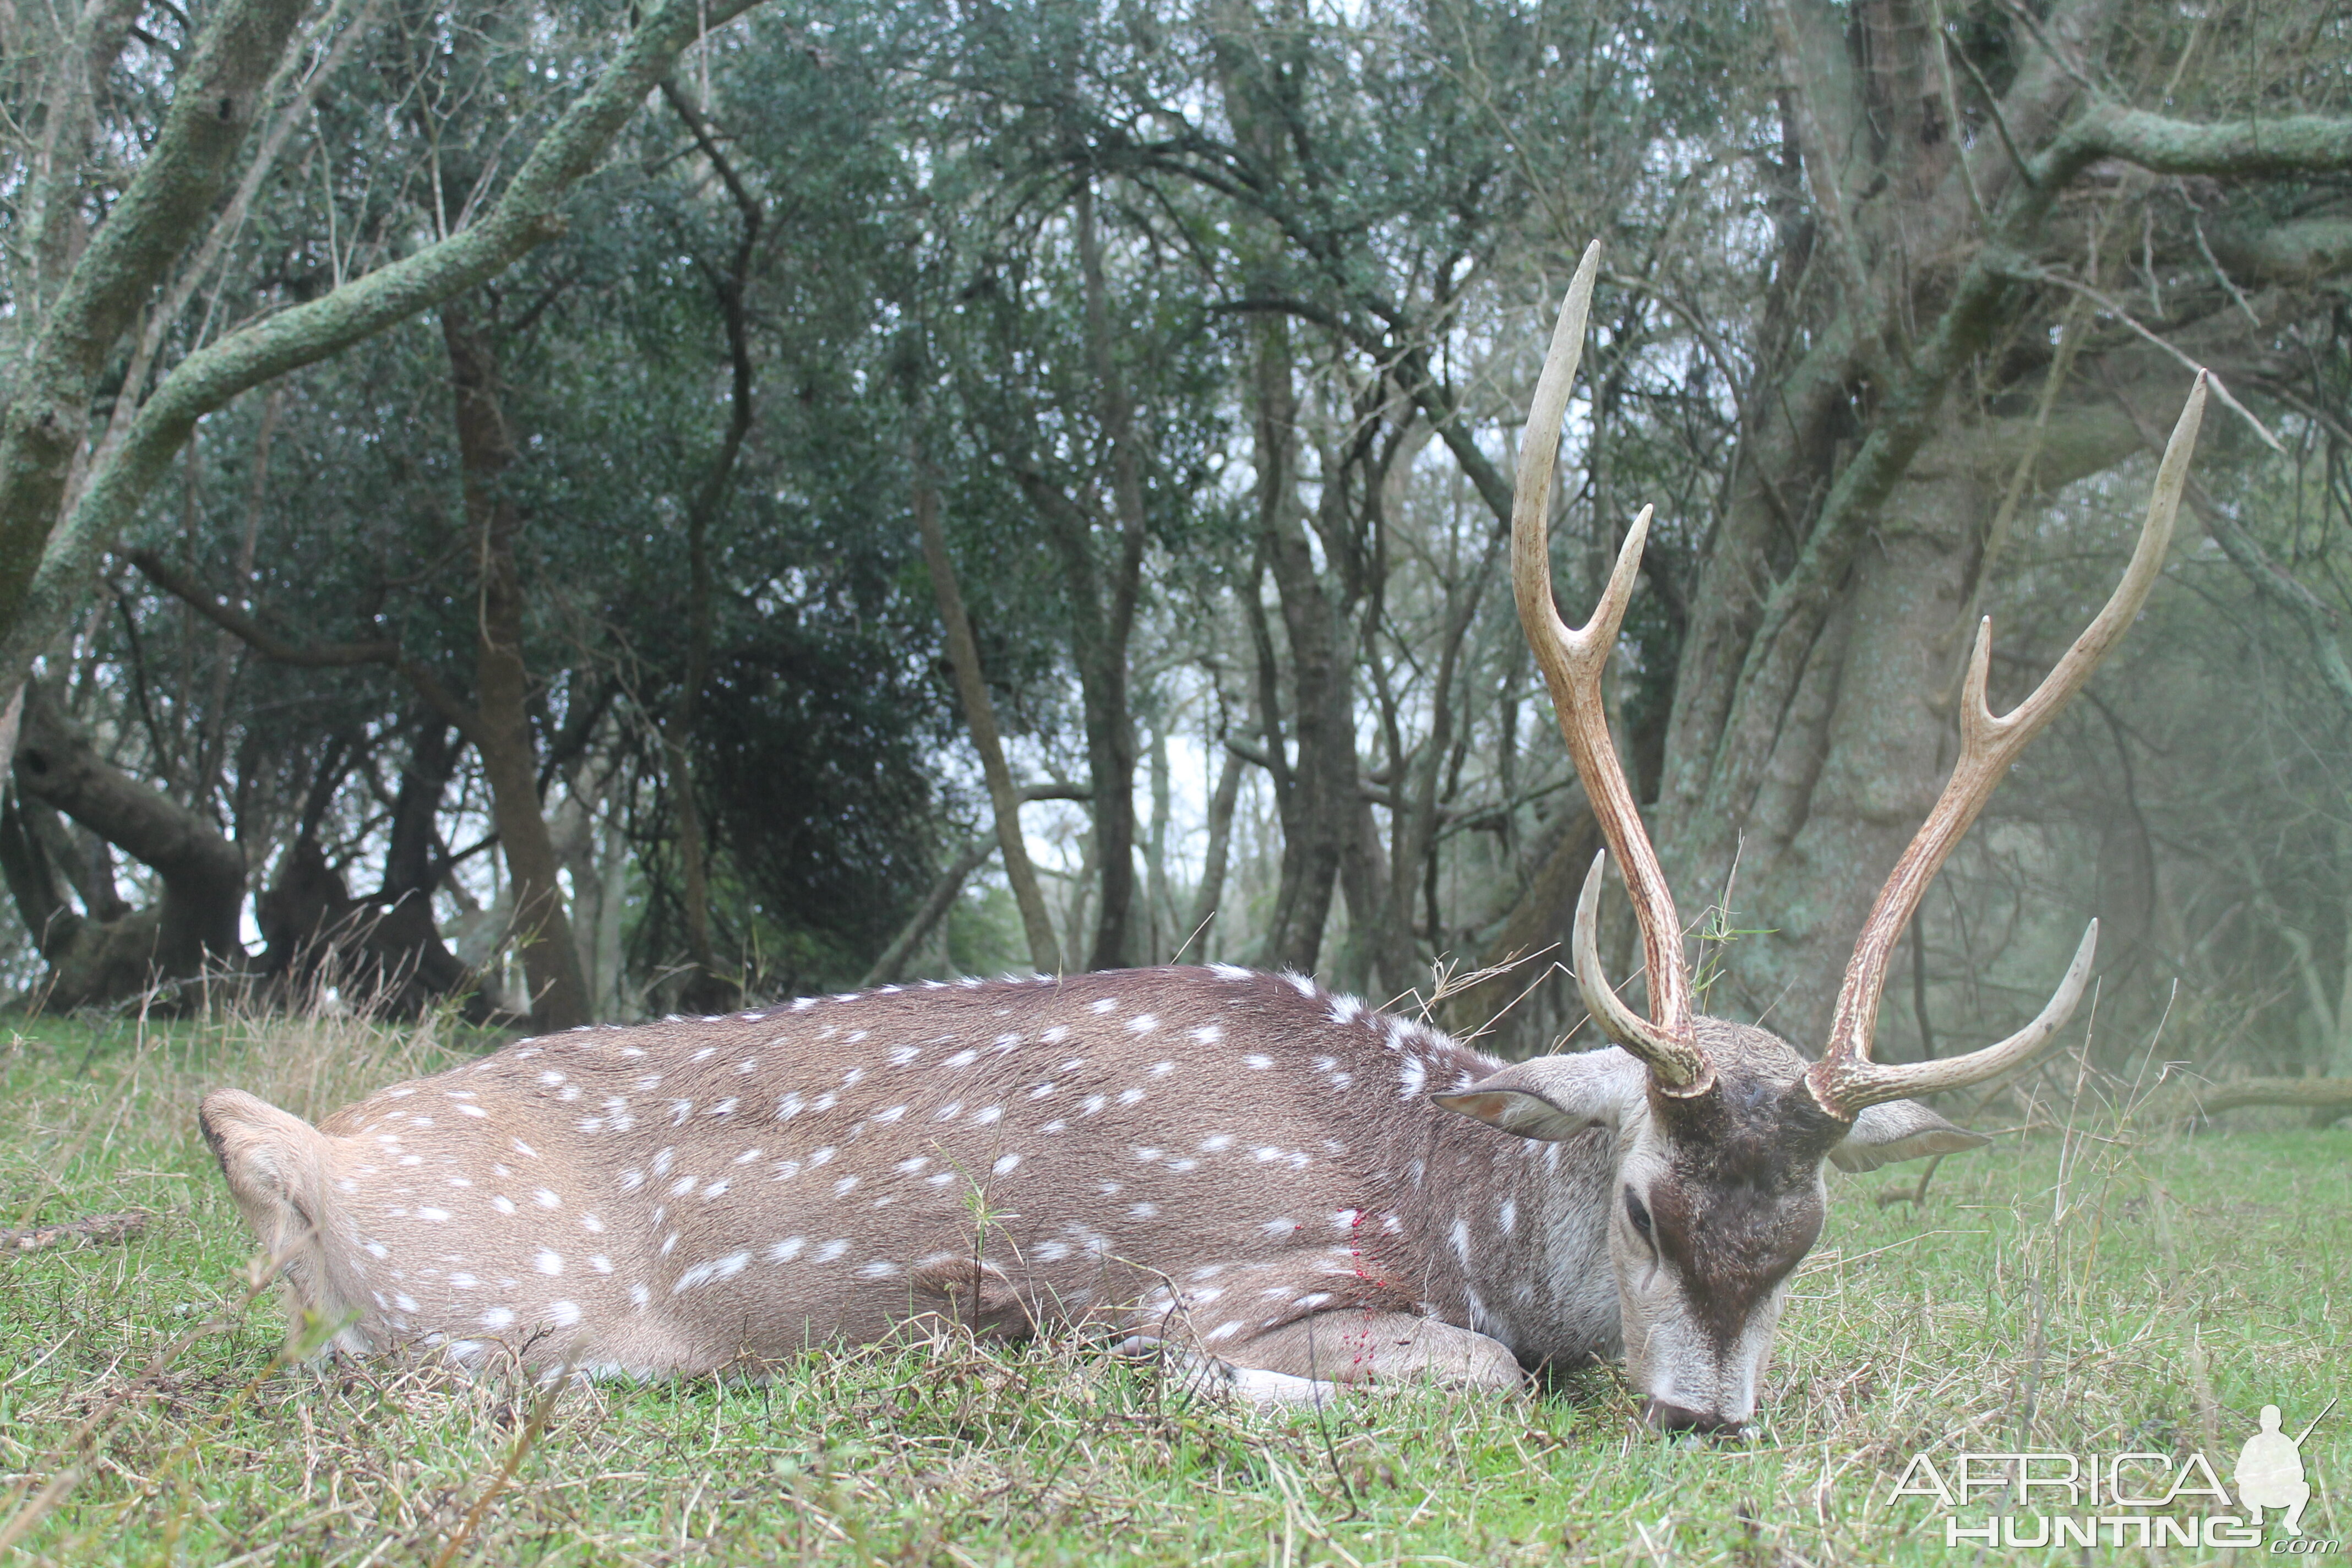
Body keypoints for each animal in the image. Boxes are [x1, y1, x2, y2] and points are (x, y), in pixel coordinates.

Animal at [202, 246, 2201, 1439]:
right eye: (1640, 1196)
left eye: (1809, 1235)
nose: (1703, 1419)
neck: (1439, 1181)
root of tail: (288, 1142)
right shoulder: (1228, 1262)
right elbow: (1466, 1372)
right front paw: (1118, 1365)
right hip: (511, 1316)